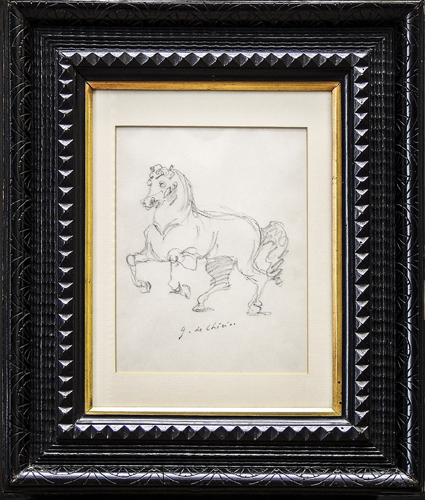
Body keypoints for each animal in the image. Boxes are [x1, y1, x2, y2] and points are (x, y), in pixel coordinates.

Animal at [126, 164, 289, 315]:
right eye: (150, 182)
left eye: (162, 183)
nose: (146, 202)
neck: (167, 226)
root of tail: (257, 227)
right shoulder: (153, 254)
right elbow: (131, 259)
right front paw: (144, 285)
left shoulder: (186, 253)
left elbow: (176, 262)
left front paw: (183, 289)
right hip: (219, 262)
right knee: (224, 283)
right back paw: (200, 303)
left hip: (244, 264)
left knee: (262, 277)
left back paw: (253, 307)